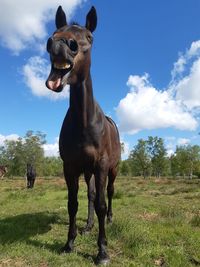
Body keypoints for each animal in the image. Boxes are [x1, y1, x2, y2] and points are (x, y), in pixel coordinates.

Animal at [45, 6, 120, 266]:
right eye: (54, 32)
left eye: (89, 37)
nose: (60, 45)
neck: (85, 122)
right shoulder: (71, 167)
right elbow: (73, 203)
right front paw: (69, 243)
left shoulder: (101, 165)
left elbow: (101, 204)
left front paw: (102, 251)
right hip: (87, 172)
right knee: (90, 195)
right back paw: (88, 226)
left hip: (112, 170)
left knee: (108, 194)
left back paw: (109, 219)